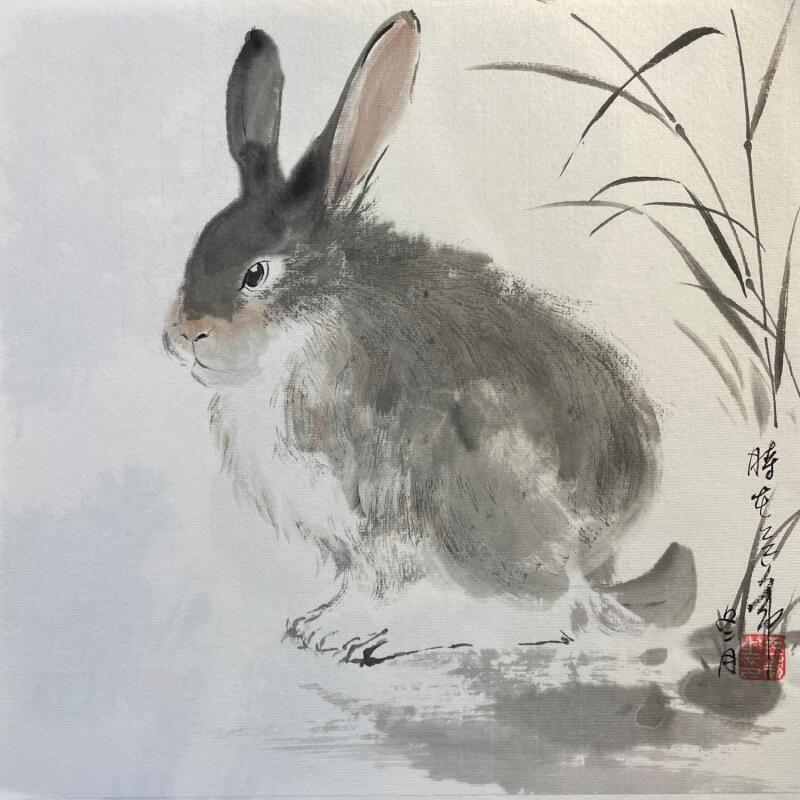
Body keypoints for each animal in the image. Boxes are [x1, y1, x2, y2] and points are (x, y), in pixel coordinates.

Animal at [164, 11, 693, 652]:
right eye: (198, 252)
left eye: (256, 273)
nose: (182, 334)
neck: (313, 322)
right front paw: (317, 624)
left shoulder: (381, 513)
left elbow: (378, 583)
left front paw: (338, 630)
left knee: (553, 611)